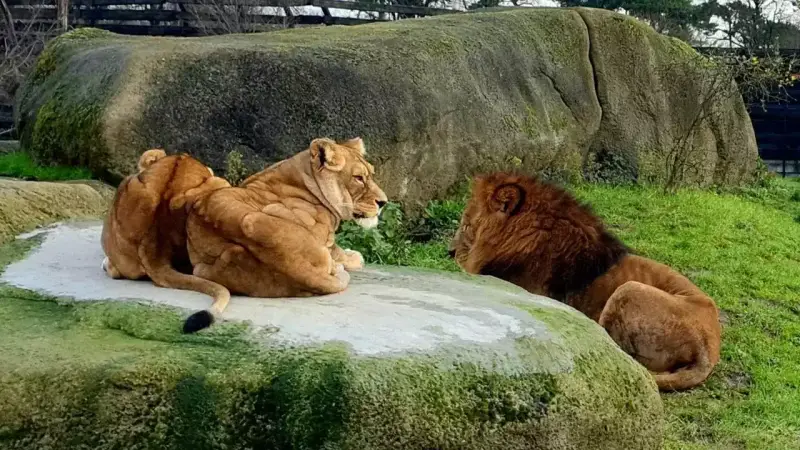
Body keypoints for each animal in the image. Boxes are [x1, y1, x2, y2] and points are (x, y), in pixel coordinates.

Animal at [181, 137, 388, 333]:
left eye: (370, 175)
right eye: (358, 178)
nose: (383, 202)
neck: (302, 173)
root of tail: (291, 265)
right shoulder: (326, 238)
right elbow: (338, 251)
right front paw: (354, 257)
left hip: (204, 265)